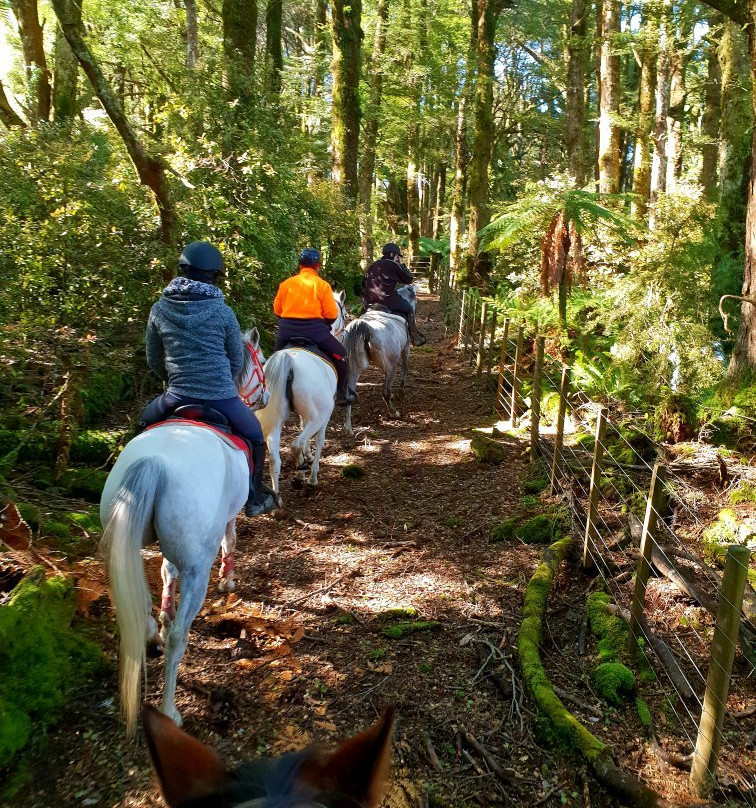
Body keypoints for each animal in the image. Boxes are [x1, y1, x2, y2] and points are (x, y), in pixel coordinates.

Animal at [99, 326, 268, 732]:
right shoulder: (227, 518)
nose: (267, 396)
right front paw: (228, 580)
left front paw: (162, 613)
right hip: (196, 570)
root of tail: (154, 463)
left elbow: (165, 571)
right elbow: (230, 541)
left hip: (120, 541)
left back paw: (150, 631)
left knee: (140, 602)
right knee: (178, 636)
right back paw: (170, 708)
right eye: (261, 362)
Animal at [255, 288, 346, 492]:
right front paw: (313, 474)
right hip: (318, 415)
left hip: (276, 419)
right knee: (296, 443)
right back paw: (301, 467)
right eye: (344, 313)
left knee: (275, 458)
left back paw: (278, 494)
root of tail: (289, 360)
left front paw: (308, 455)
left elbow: (303, 426)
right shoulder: (324, 416)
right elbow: (320, 439)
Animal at [340, 286, 416, 436]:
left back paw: (348, 428)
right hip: (391, 367)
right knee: (385, 392)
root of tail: (366, 327)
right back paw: (393, 413)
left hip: (354, 369)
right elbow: (405, 368)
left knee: (349, 395)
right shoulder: (406, 349)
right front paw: (401, 392)